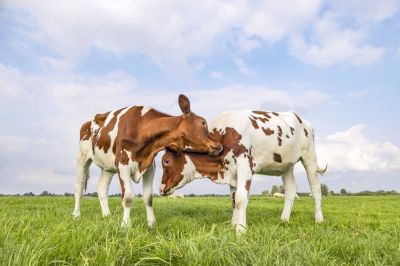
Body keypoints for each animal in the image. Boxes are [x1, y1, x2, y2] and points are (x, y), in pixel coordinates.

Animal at [161, 110, 326, 235]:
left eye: (166, 161)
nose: (161, 189)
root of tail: (303, 120)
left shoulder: (245, 164)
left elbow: (241, 199)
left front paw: (240, 230)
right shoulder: (231, 172)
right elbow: (233, 200)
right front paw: (233, 225)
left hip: (309, 157)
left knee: (316, 189)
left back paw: (319, 220)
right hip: (286, 165)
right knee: (291, 189)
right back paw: (284, 220)